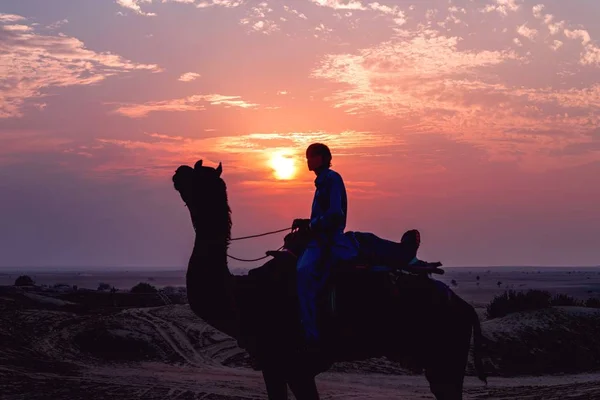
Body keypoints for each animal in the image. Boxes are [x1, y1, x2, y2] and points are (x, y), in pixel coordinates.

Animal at [170, 160, 488, 400]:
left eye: (198, 174)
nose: (178, 171)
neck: (243, 297)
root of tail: (464, 307)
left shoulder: (293, 363)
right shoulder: (274, 367)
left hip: (444, 358)